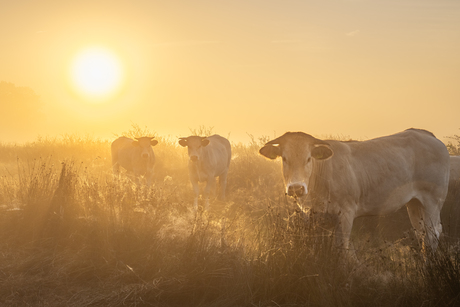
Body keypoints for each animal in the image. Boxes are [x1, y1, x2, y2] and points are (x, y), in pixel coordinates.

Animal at [260, 129, 452, 254]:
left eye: (308, 159)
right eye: (284, 158)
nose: (296, 188)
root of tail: (425, 134)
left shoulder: (345, 214)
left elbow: (341, 249)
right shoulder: (312, 216)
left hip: (433, 200)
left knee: (433, 233)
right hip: (414, 203)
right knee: (422, 233)